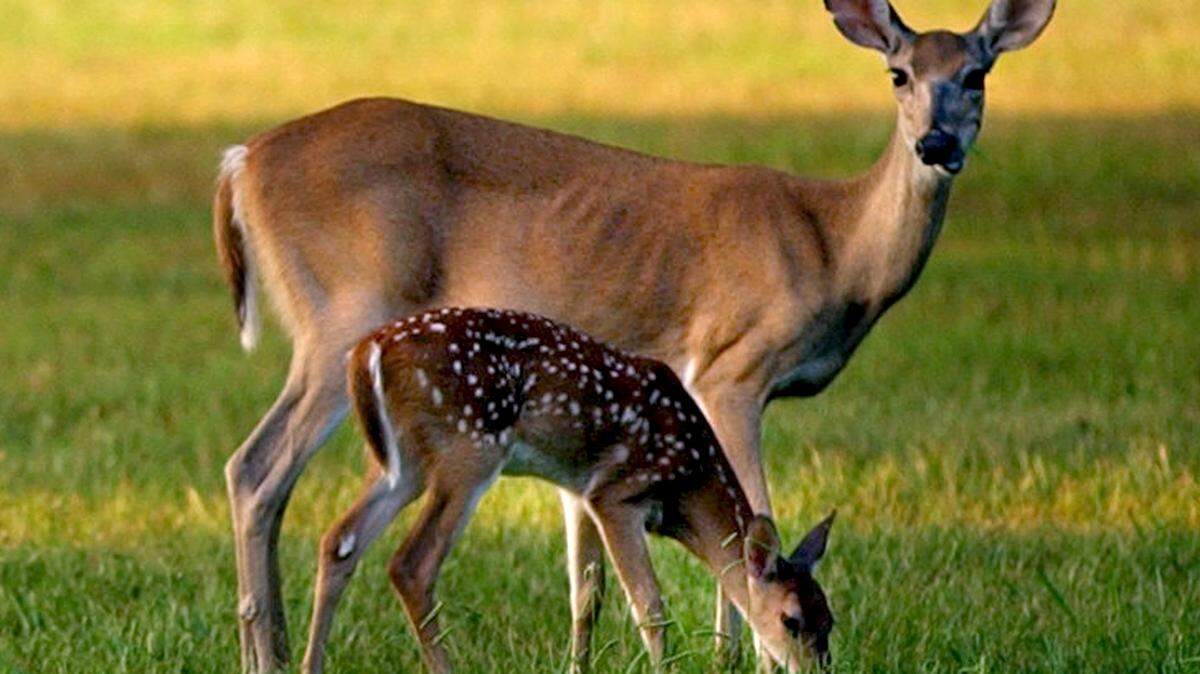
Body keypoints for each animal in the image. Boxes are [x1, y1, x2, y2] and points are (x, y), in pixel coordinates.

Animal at [300, 307, 836, 673]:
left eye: (829, 619)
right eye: (790, 620)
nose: (818, 669)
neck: (689, 478)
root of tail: (368, 351)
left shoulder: (579, 492)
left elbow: (586, 599)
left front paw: (578, 666)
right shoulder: (617, 494)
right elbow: (650, 607)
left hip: (403, 464)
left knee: (339, 540)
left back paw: (310, 665)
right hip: (468, 448)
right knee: (411, 564)